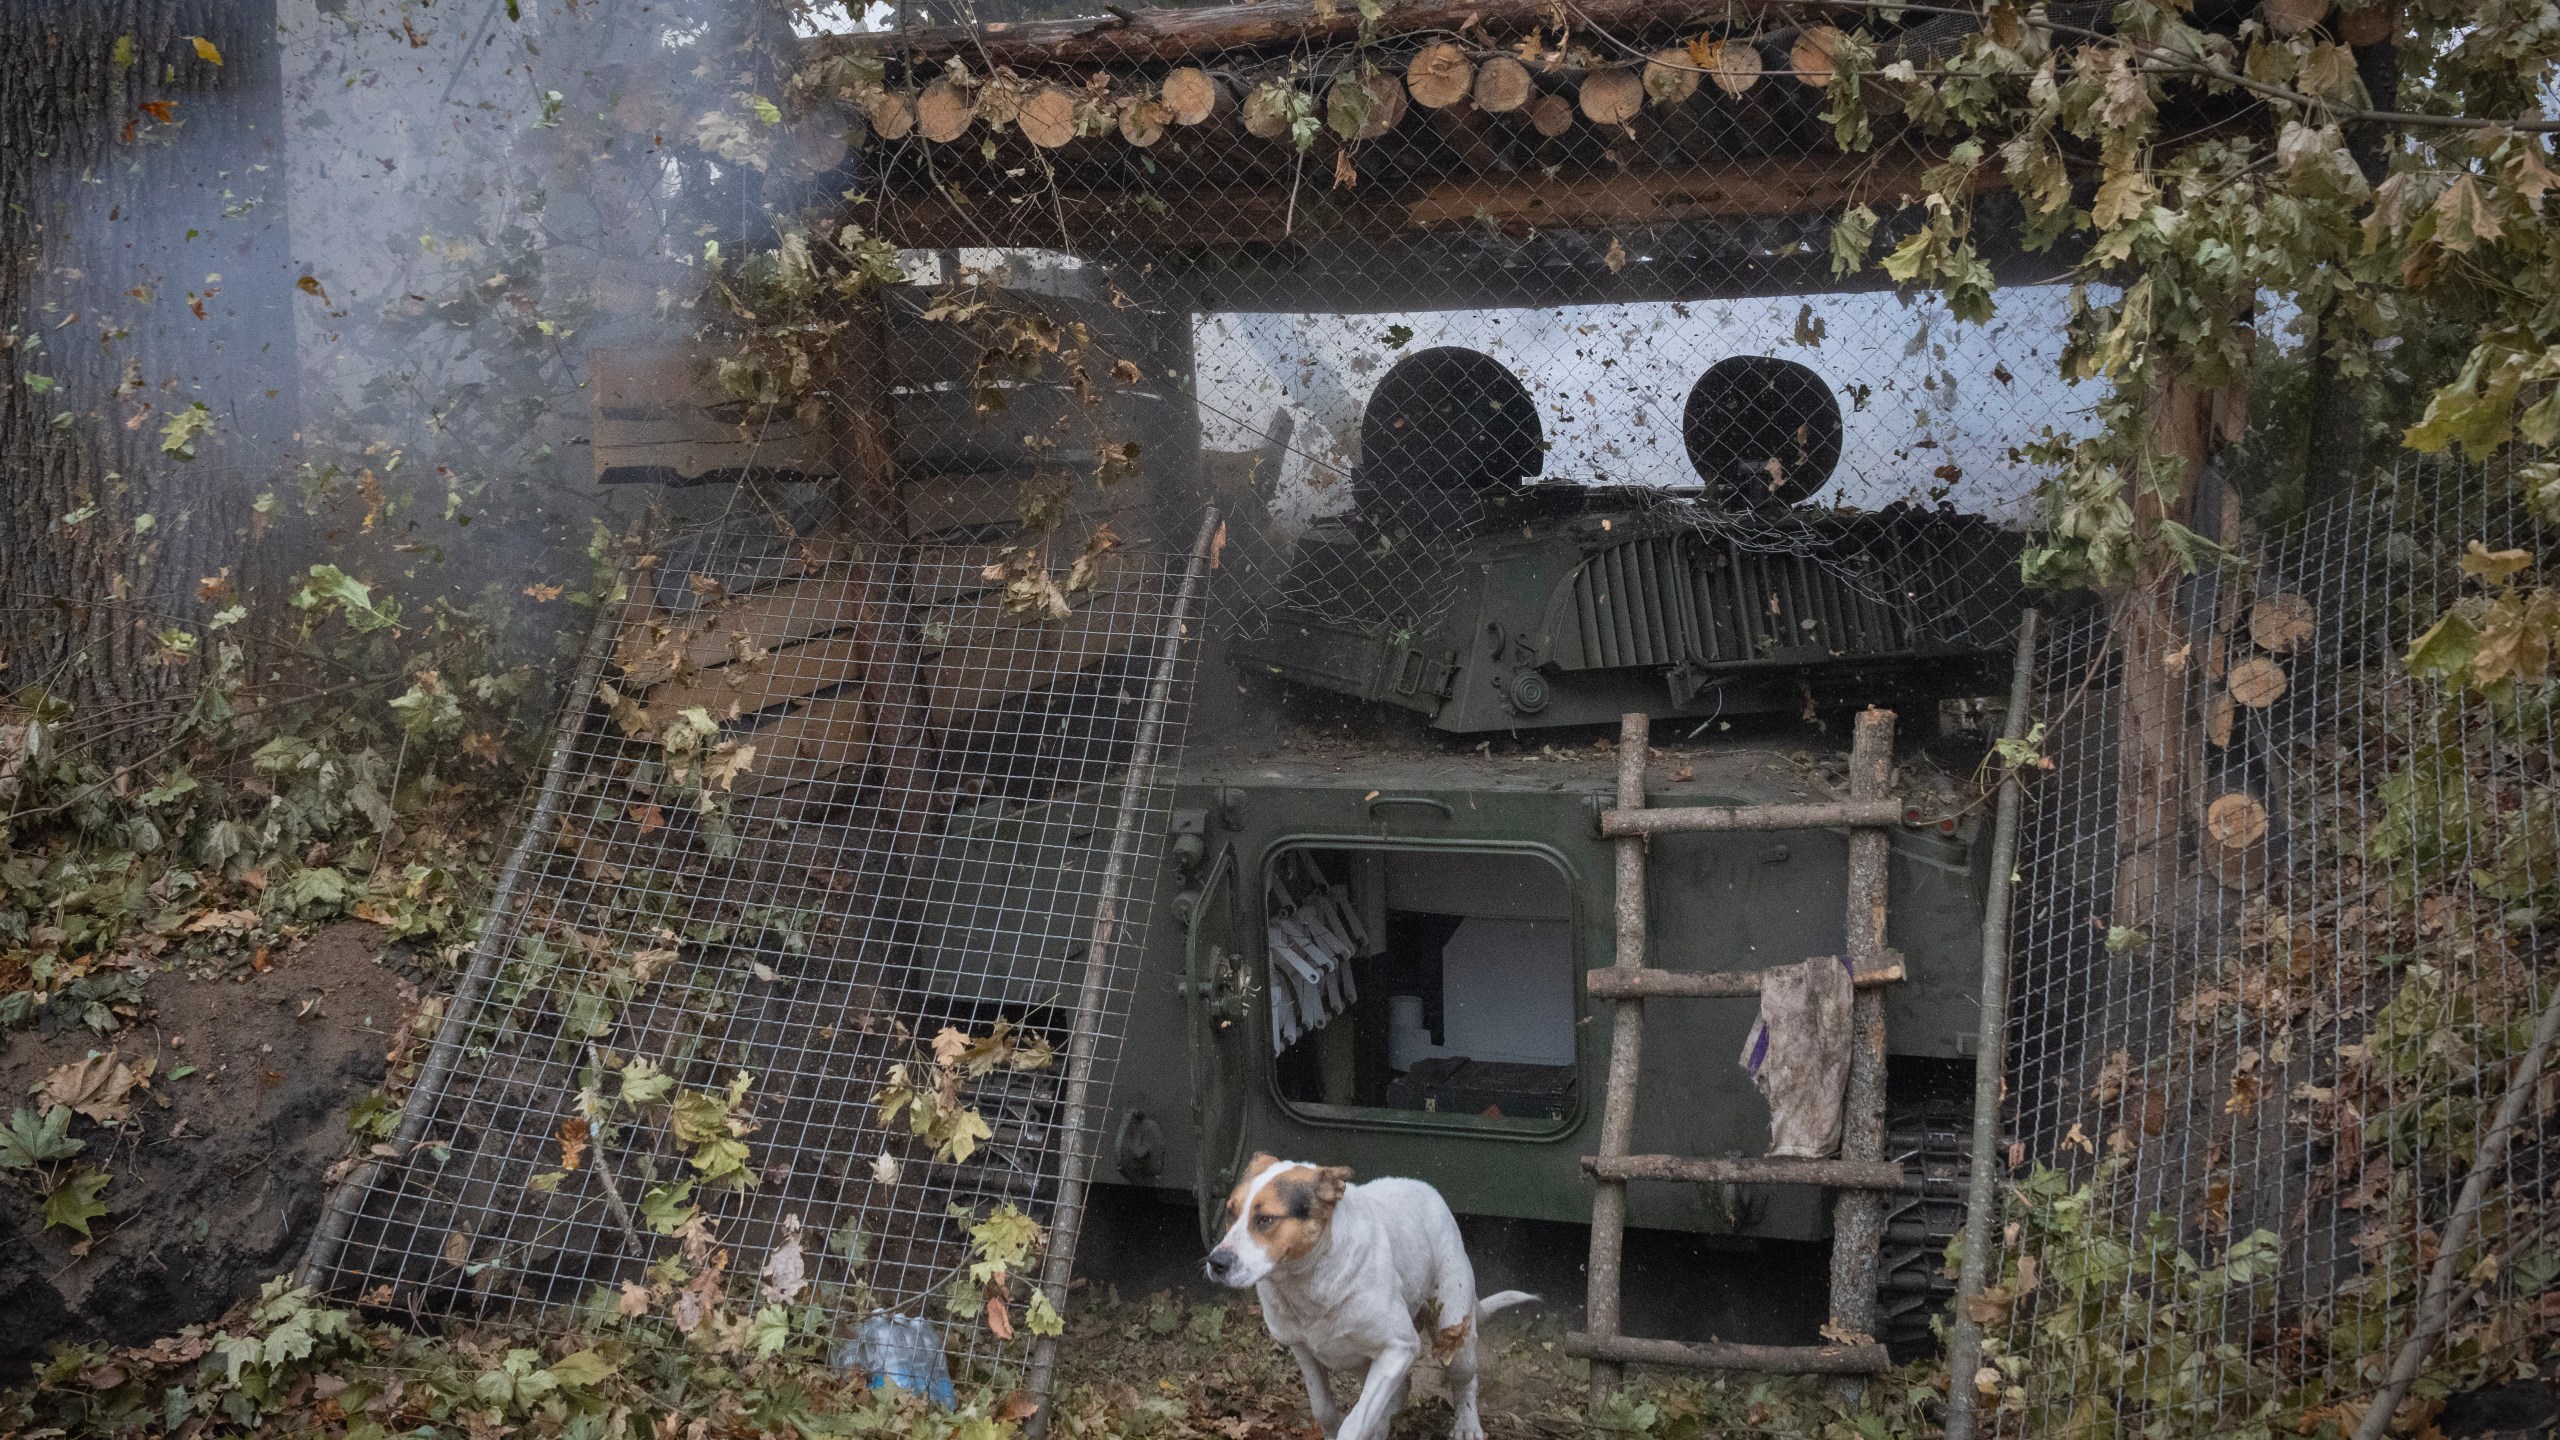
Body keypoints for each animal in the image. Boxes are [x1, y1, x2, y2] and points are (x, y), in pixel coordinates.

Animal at [1203, 1147, 1525, 1434]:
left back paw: (1467, 1425)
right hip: (1358, 1358)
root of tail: (1426, 1189)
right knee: (1401, 1387)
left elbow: (1355, 1422)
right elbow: (1324, 1410)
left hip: (1453, 1337)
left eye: (1265, 1219)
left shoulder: (1400, 1346)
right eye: (1230, 1213)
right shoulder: (1303, 1350)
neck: (1309, 1282)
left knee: (1465, 1382)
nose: (1216, 1262)